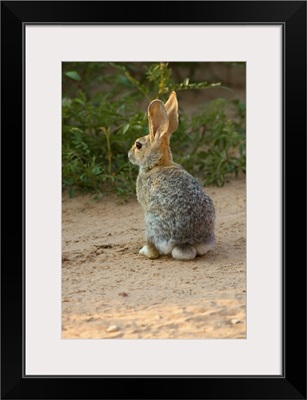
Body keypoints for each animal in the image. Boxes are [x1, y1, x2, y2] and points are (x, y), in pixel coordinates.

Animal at [128, 91, 217, 260]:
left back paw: (143, 251)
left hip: (150, 222)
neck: (157, 164)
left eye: (138, 145)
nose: (129, 154)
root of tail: (186, 243)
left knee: (154, 251)